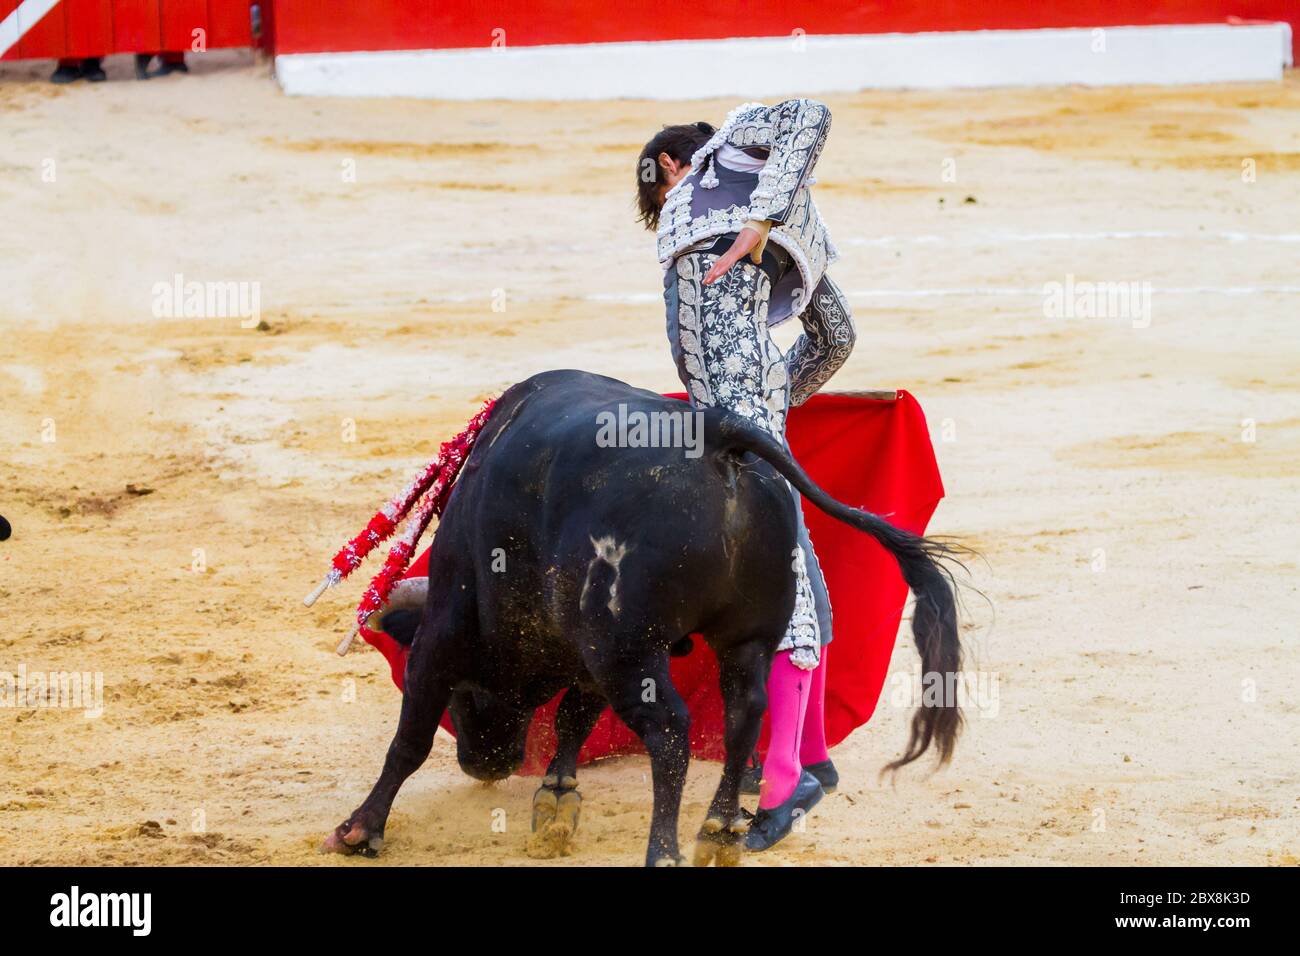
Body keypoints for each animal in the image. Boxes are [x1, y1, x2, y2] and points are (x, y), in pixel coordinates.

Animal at [319, 371, 961, 868]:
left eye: (463, 699)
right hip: (741, 638)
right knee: (744, 713)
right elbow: (575, 718)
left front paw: (359, 829)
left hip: (630, 651)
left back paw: (667, 849)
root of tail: (718, 437)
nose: (485, 764)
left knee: (672, 730)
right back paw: (720, 830)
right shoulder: (585, 654)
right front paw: (557, 799)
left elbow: (411, 738)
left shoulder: (447, 635)